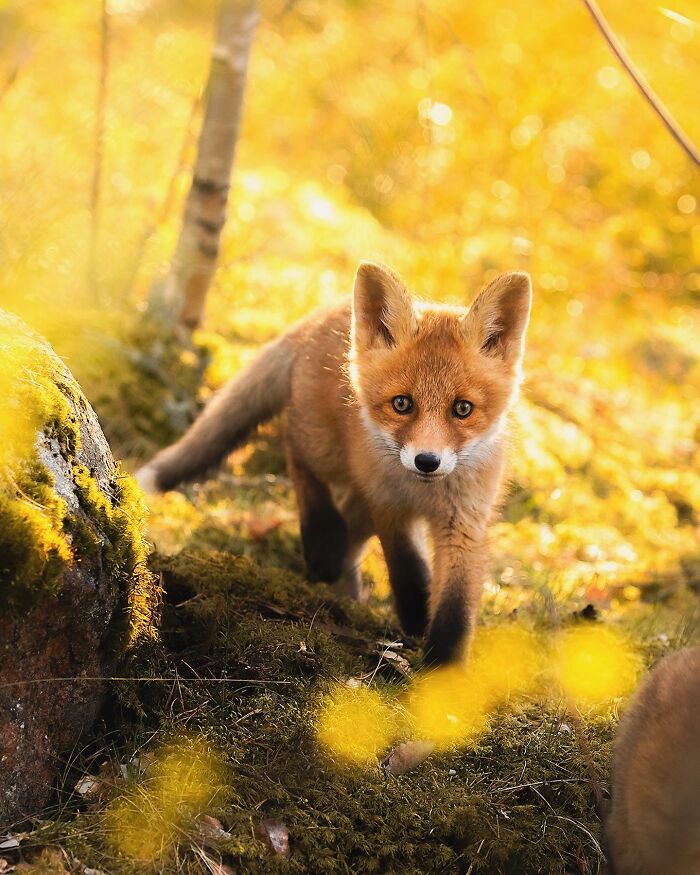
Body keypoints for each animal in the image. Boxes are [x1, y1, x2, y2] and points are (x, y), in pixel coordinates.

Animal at [135, 264, 532, 668]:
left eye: (462, 409)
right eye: (402, 404)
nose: (426, 461)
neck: (425, 494)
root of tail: (323, 313)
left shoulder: (465, 522)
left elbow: (456, 607)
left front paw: (445, 669)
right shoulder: (388, 505)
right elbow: (406, 568)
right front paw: (415, 617)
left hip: (358, 493)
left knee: (350, 539)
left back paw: (347, 593)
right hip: (325, 452)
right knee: (297, 456)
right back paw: (322, 543)